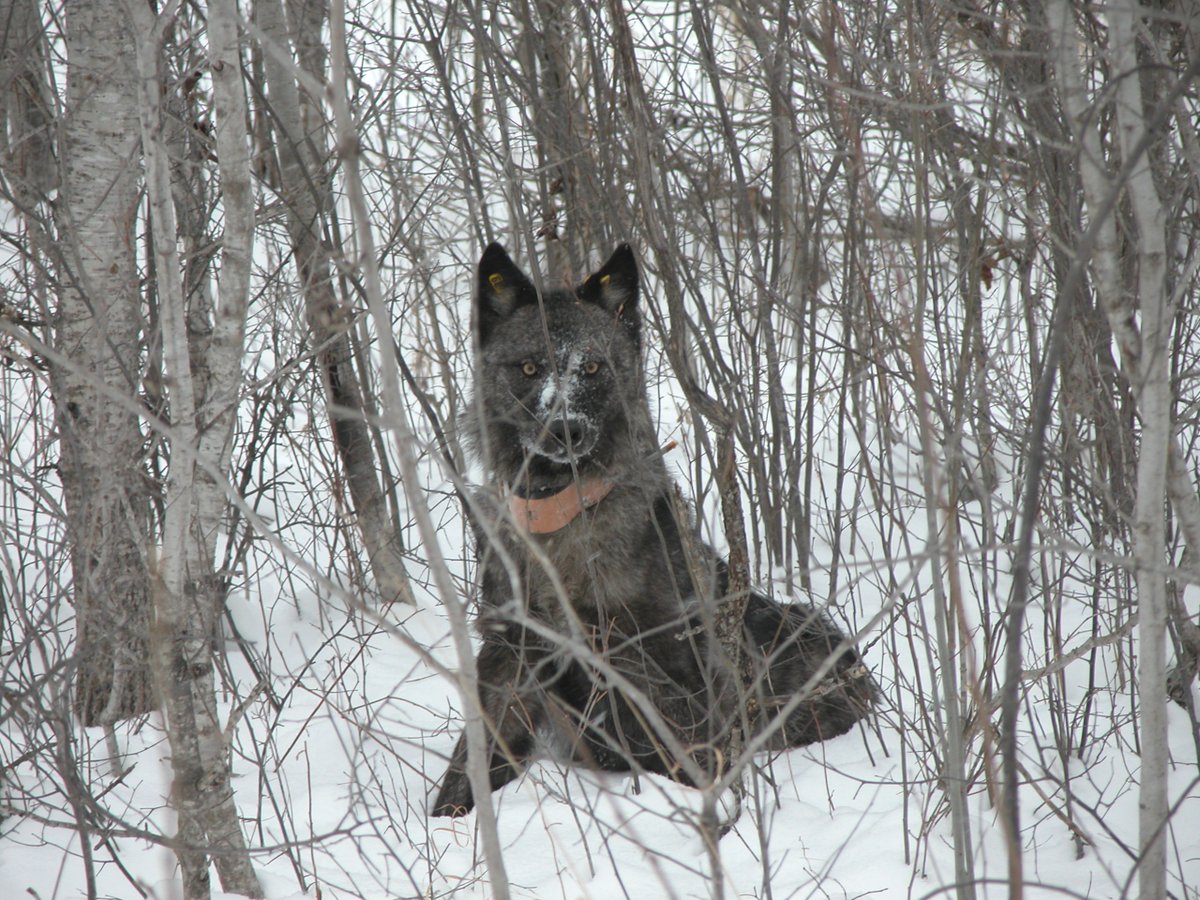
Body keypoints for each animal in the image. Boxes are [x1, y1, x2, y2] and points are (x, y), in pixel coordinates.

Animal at [431, 242, 875, 817]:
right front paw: (446, 824)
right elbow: (471, 762)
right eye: (529, 367)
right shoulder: (511, 655)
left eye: (592, 366)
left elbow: (691, 753)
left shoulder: (659, 667)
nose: (566, 430)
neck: (563, 515)